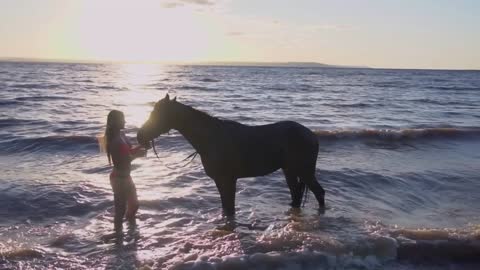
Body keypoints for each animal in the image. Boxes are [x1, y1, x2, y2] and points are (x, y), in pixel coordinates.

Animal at [138, 94, 326, 216]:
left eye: (157, 114)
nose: (140, 136)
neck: (212, 138)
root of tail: (311, 135)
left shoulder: (228, 180)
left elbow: (230, 208)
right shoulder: (220, 182)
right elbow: (226, 208)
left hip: (305, 172)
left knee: (319, 193)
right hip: (290, 171)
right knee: (296, 195)